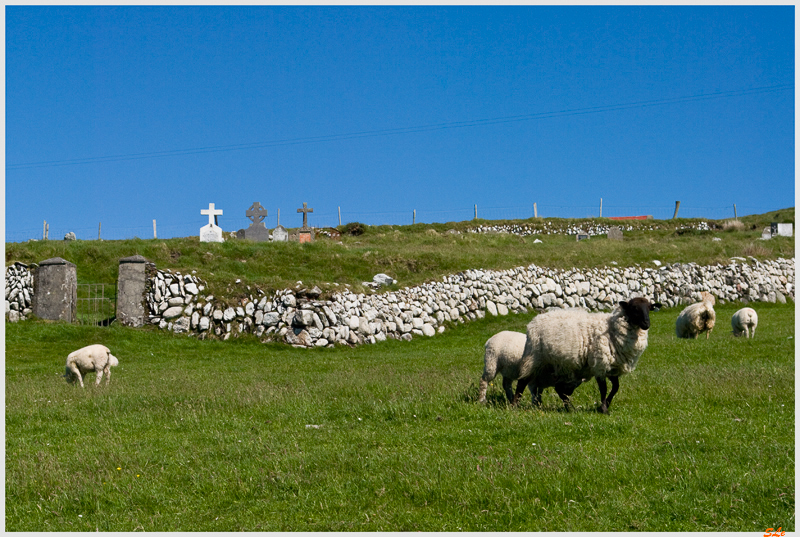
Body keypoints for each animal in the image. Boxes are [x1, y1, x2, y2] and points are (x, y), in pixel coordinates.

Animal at [512, 296, 664, 412]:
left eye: (649, 308)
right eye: (634, 309)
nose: (646, 324)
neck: (612, 328)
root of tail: (533, 322)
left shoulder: (612, 367)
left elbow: (615, 388)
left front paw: (605, 405)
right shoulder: (600, 364)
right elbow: (603, 389)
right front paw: (604, 409)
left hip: (558, 367)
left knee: (559, 389)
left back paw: (569, 408)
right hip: (534, 358)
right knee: (522, 382)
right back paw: (515, 405)